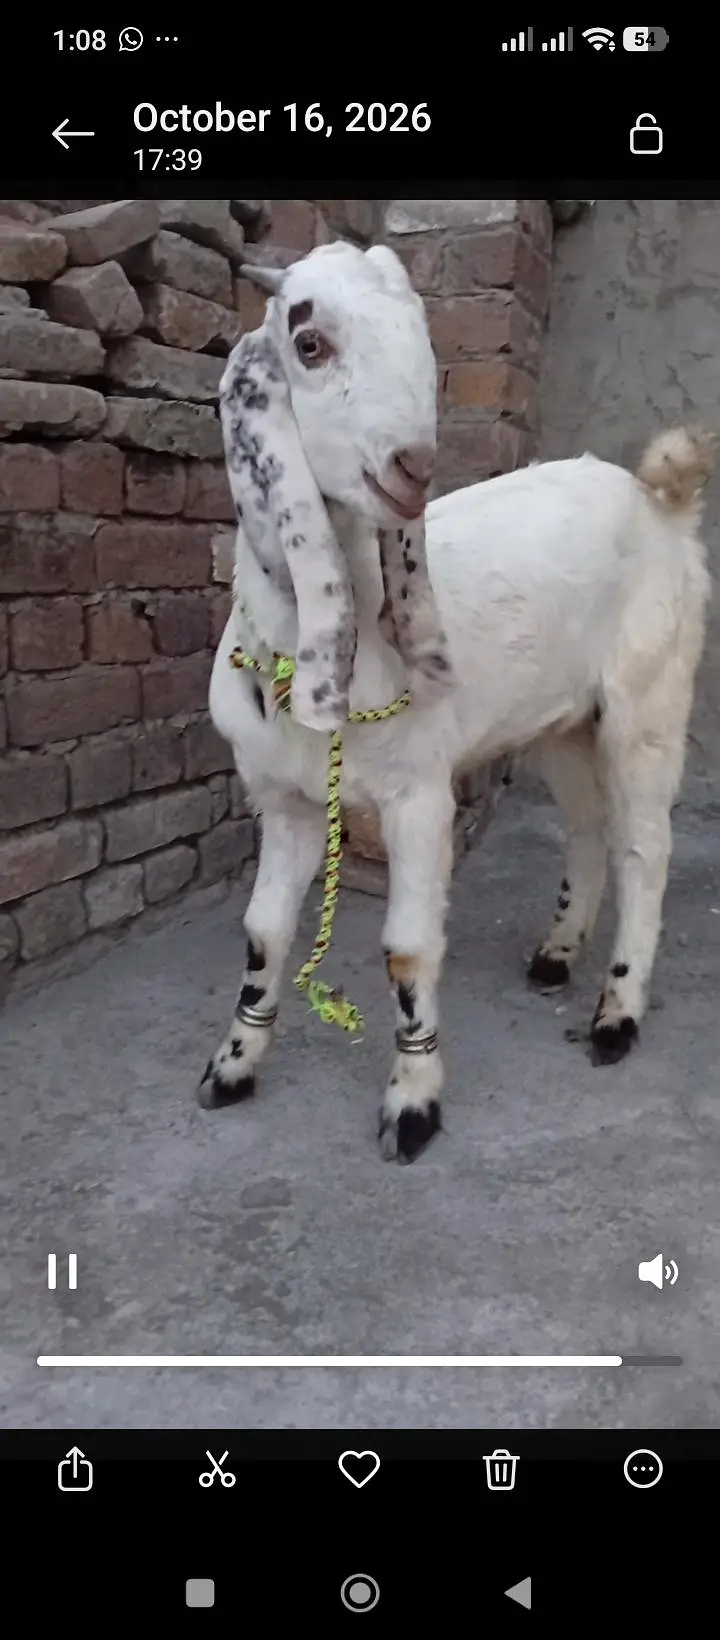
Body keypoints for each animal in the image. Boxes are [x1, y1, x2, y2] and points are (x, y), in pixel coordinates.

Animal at [200, 238, 714, 1164]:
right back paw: (556, 954)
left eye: (422, 335)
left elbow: (407, 951)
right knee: (588, 824)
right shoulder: (283, 802)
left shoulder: (418, 798)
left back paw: (616, 1015)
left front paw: (413, 1105)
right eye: (308, 342)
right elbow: (263, 931)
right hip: (558, 720)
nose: (412, 468)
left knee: (645, 846)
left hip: (649, 695)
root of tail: (664, 502)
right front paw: (232, 1067)